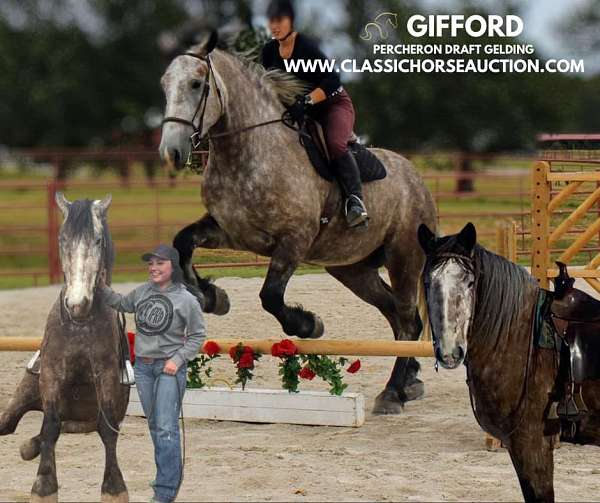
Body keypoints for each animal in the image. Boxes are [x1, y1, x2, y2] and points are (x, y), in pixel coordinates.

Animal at [0, 194, 129, 503]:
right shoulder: (51, 375)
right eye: (62, 238)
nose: (77, 303)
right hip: (22, 398)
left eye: (97, 240)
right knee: (21, 425)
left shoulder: (106, 376)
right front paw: (44, 487)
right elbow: (50, 426)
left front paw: (113, 488)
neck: (80, 325)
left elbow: (107, 430)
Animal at [158, 33, 436, 416]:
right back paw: (409, 383)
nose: (170, 152)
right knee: (397, 317)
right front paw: (211, 296)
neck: (247, 152)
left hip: (404, 258)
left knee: (408, 320)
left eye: (197, 84)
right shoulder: (230, 231)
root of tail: (418, 180)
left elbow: (271, 296)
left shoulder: (294, 240)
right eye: (164, 84)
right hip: (353, 270)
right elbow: (183, 242)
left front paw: (308, 324)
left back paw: (392, 393)